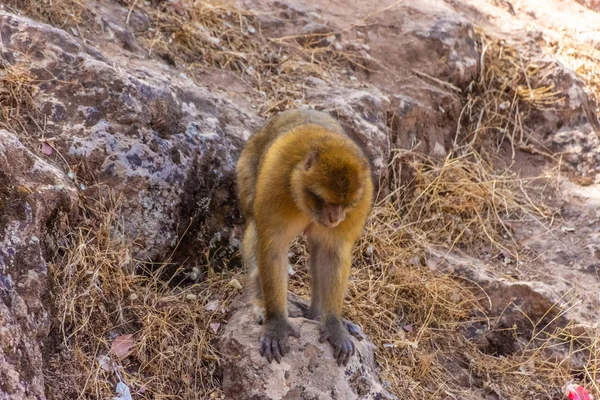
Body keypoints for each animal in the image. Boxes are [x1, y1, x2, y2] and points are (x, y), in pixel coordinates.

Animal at [236, 108, 372, 368]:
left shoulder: (361, 199)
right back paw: (260, 302)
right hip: (246, 170)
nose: (335, 218)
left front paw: (333, 323)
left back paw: (318, 315)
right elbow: (273, 247)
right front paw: (277, 322)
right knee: (255, 226)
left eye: (345, 204)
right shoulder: (276, 183)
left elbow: (331, 254)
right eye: (326, 201)